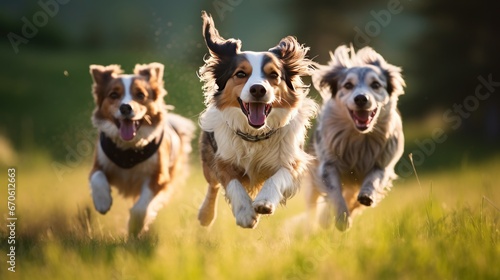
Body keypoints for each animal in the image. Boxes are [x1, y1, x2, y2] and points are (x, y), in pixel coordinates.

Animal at [89, 61, 194, 236]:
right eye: (113, 95)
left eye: (140, 95)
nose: (125, 107)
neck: (129, 150)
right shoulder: (98, 163)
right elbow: (96, 176)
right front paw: (102, 202)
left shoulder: (159, 176)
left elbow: (141, 207)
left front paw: (135, 227)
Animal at [197, 12, 318, 229]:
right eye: (240, 74)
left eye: (274, 75)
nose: (258, 89)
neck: (255, 134)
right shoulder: (222, 157)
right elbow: (232, 182)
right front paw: (245, 212)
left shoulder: (294, 159)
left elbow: (279, 176)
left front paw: (265, 201)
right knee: (212, 185)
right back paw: (206, 214)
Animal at [304, 45, 406, 230]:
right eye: (348, 85)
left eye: (375, 84)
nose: (361, 98)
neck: (360, 137)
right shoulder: (328, 163)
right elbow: (334, 192)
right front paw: (341, 218)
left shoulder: (384, 161)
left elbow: (374, 178)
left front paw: (367, 195)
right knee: (312, 205)